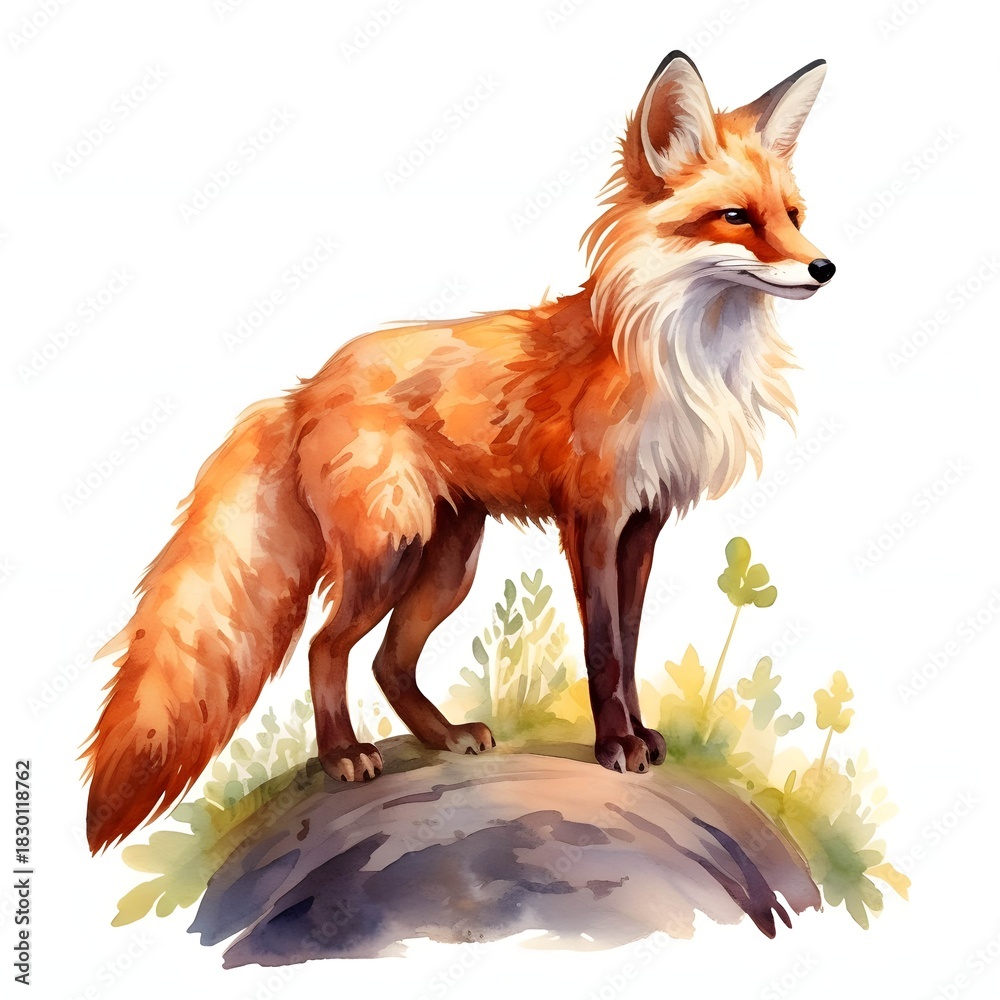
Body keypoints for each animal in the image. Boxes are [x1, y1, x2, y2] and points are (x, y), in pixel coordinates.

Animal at [84, 51, 835, 853]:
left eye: (793, 216)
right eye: (737, 218)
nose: (825, 268)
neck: (676, 358)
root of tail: (305, 388)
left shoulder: (643, 524)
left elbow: (630, 647)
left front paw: (639, 734)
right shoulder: (592, 519)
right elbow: (603, 649)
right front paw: (614, 746)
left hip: (448, 565)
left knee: (387, 661)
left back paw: (442, 737)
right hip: (389, 553)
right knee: (325, 648)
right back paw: (345, 755)